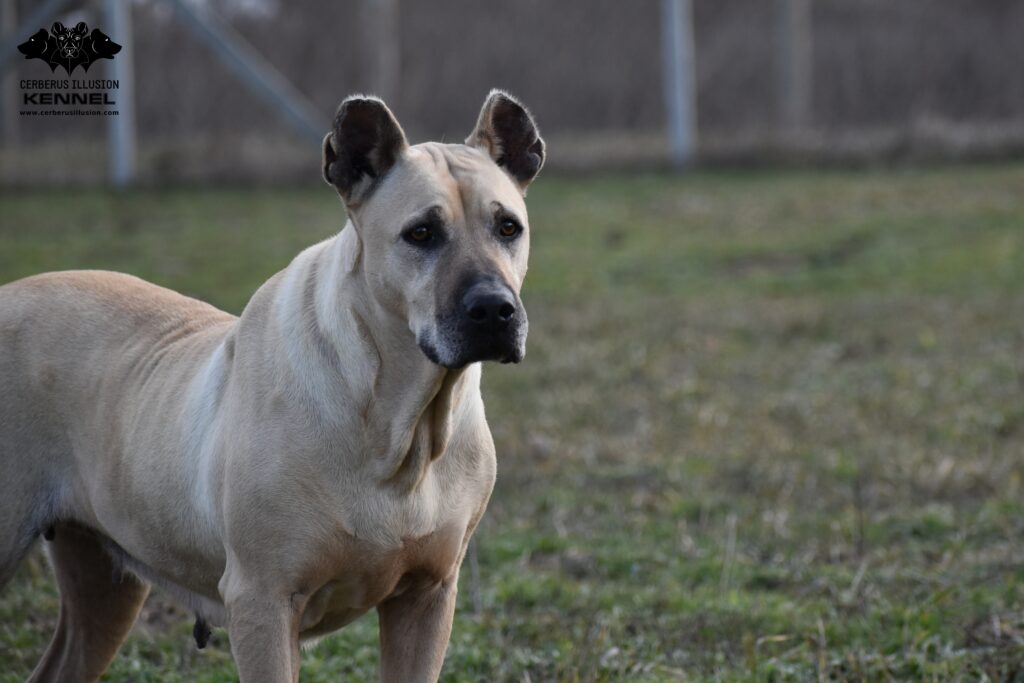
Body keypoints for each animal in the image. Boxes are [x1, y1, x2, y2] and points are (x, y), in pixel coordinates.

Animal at [0, 92, 544, 683]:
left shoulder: (426, 598)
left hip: (104, 583)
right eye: (420, 233)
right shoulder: (263, 602)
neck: (398, 419)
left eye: (508, 227)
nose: (493, 309)